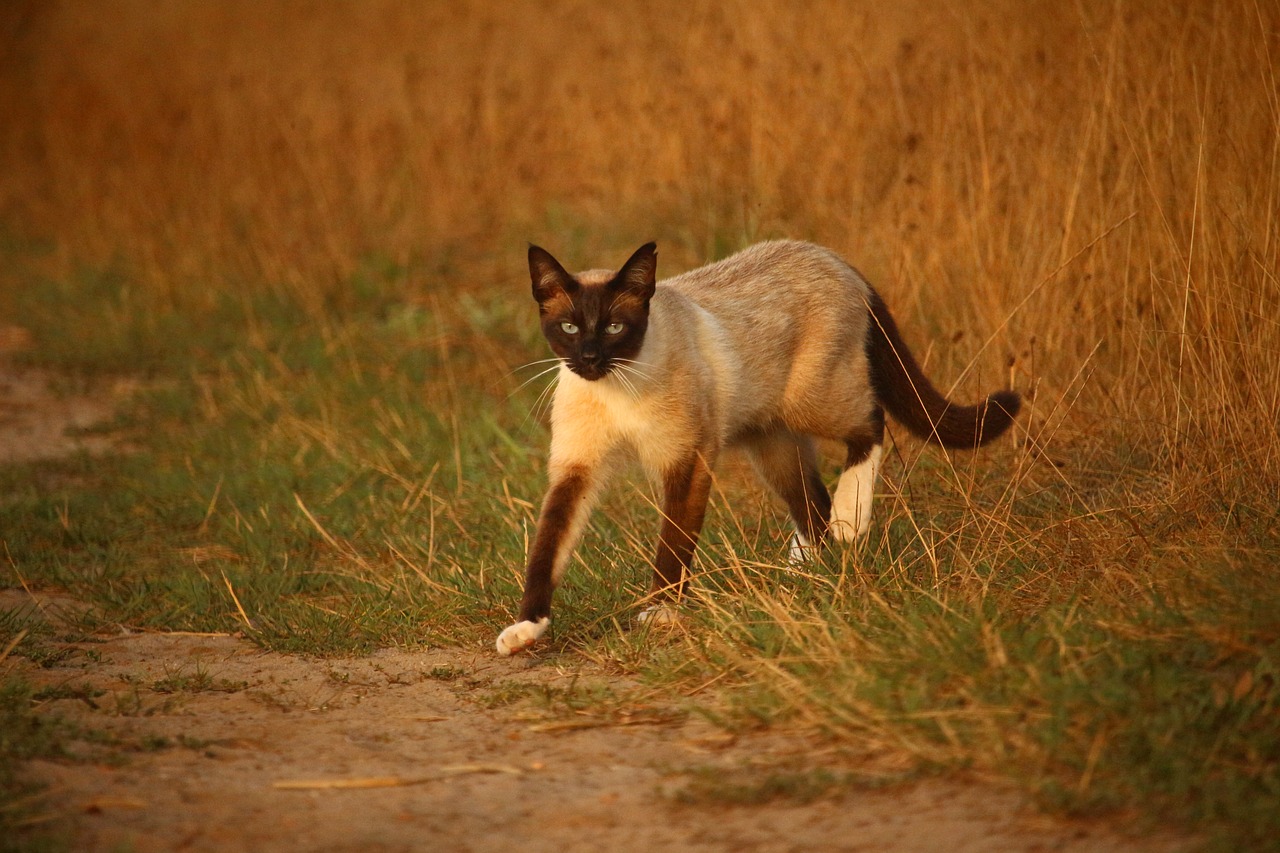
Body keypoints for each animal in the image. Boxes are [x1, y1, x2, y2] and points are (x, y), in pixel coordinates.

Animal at [494, 239, 1013, 650]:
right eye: (570, 328)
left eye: (614, 328)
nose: (589, 358)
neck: (616, 387)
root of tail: (837, 259)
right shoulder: (576, 471)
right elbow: (547, 550)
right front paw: (526, 629)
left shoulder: (686, 463)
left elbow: (672, 548)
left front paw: (660, 613)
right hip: (772, 443)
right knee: (813, 504)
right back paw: (802, 571)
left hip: (809, 403)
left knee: (871, 424)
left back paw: (849, 521)